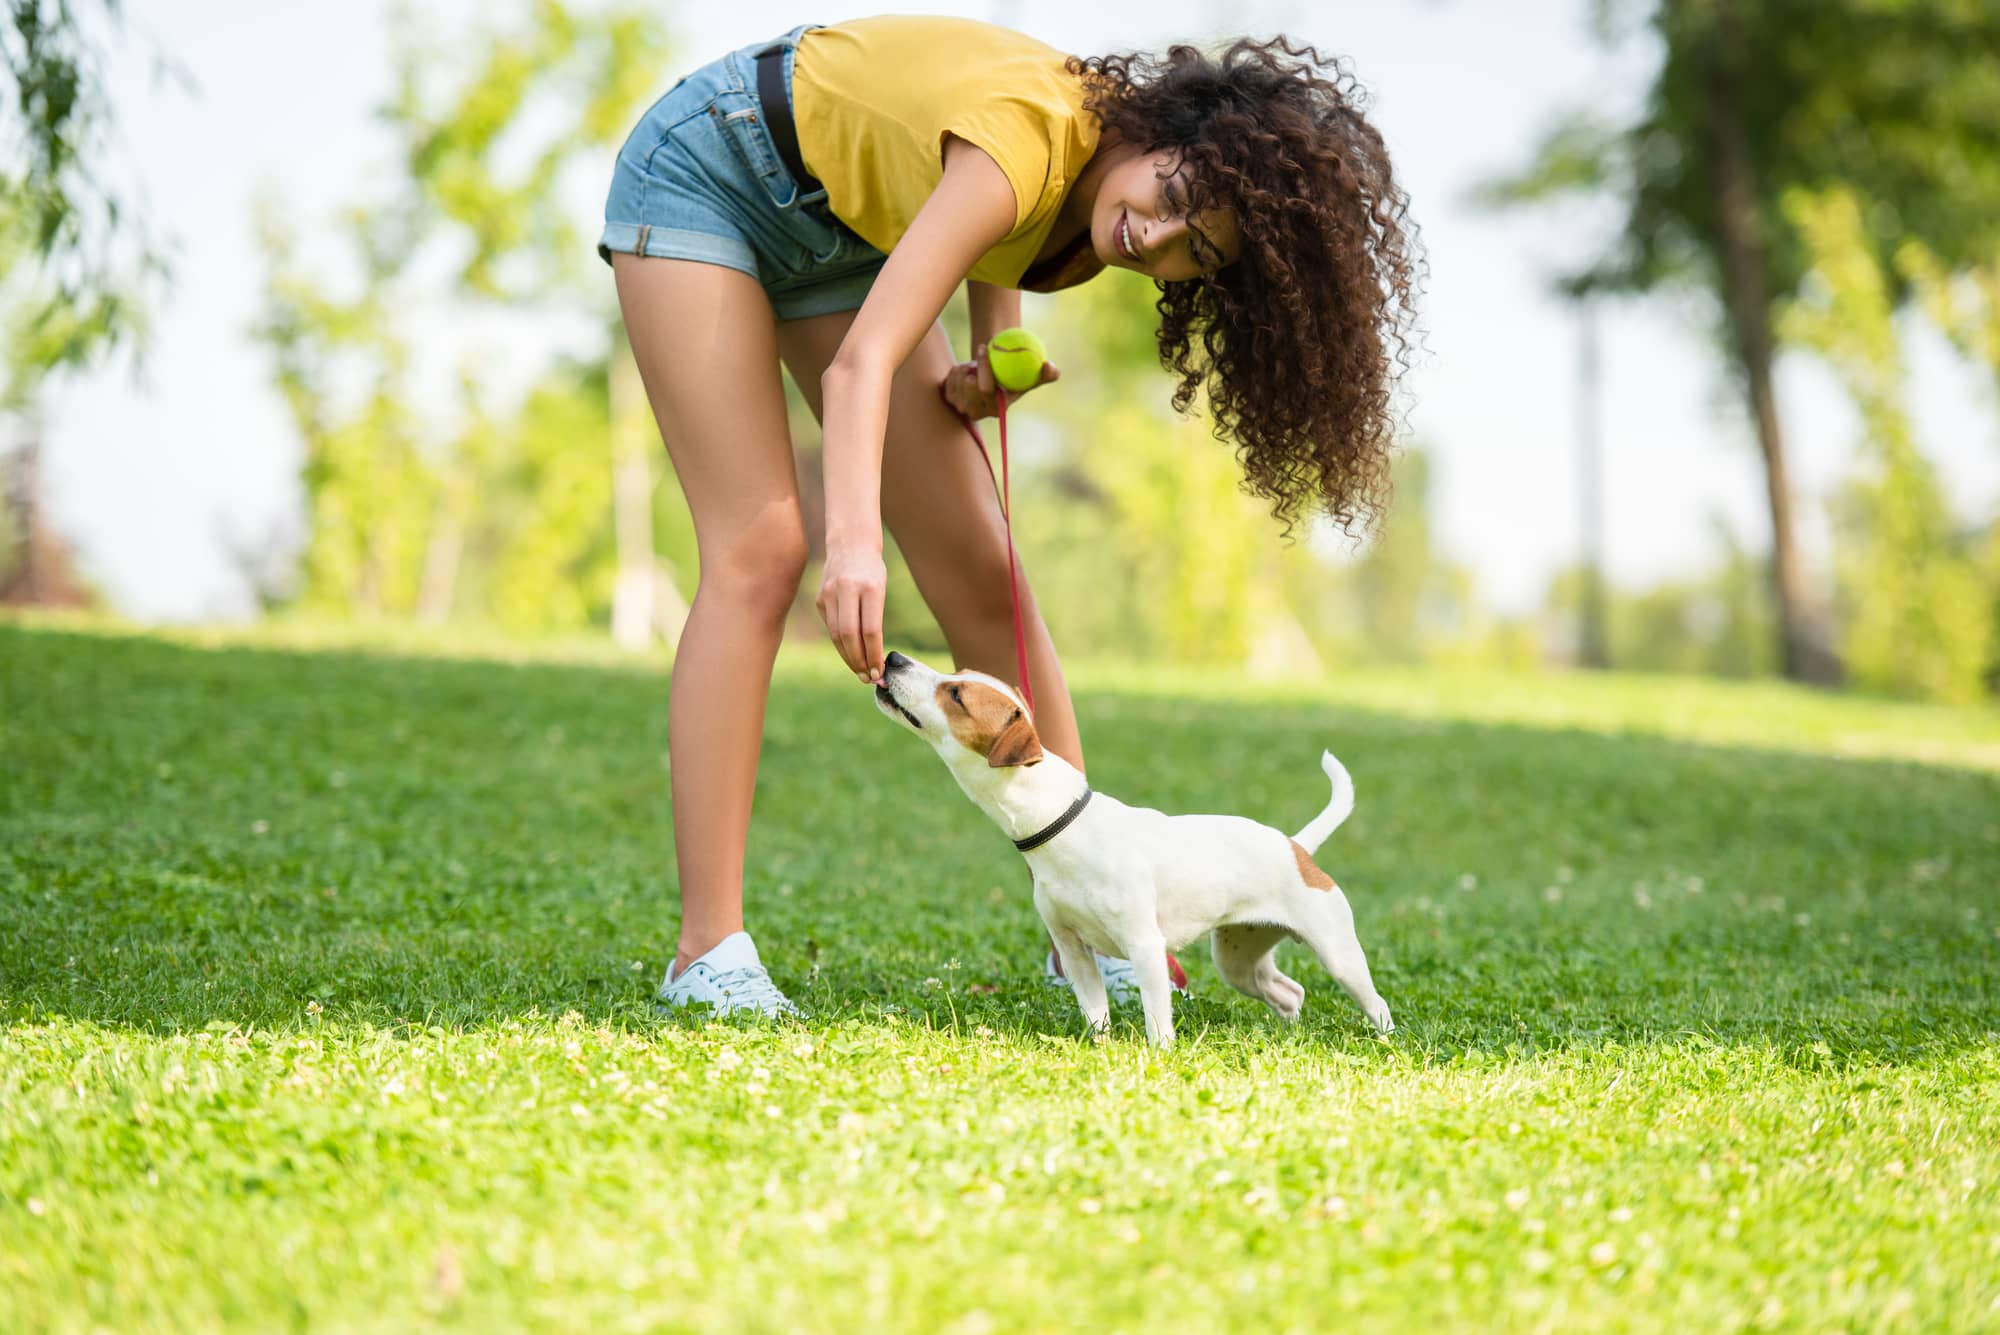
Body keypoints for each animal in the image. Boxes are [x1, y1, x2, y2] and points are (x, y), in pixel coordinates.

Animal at [876, 651, 1392, 1047]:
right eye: (956, 676)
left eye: (956, 695)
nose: (893, 657)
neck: (1064, 825)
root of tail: (1296, 846)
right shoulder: (1073, 950)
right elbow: (1095, 1012)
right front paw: (1100, 1047)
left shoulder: (1145, 947)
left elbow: (1156, 1019)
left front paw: (1158, 1057)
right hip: (1239, 959)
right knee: (1289, 992)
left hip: (1338, 953)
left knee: (1373, 1000)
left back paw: (1386, 1040)